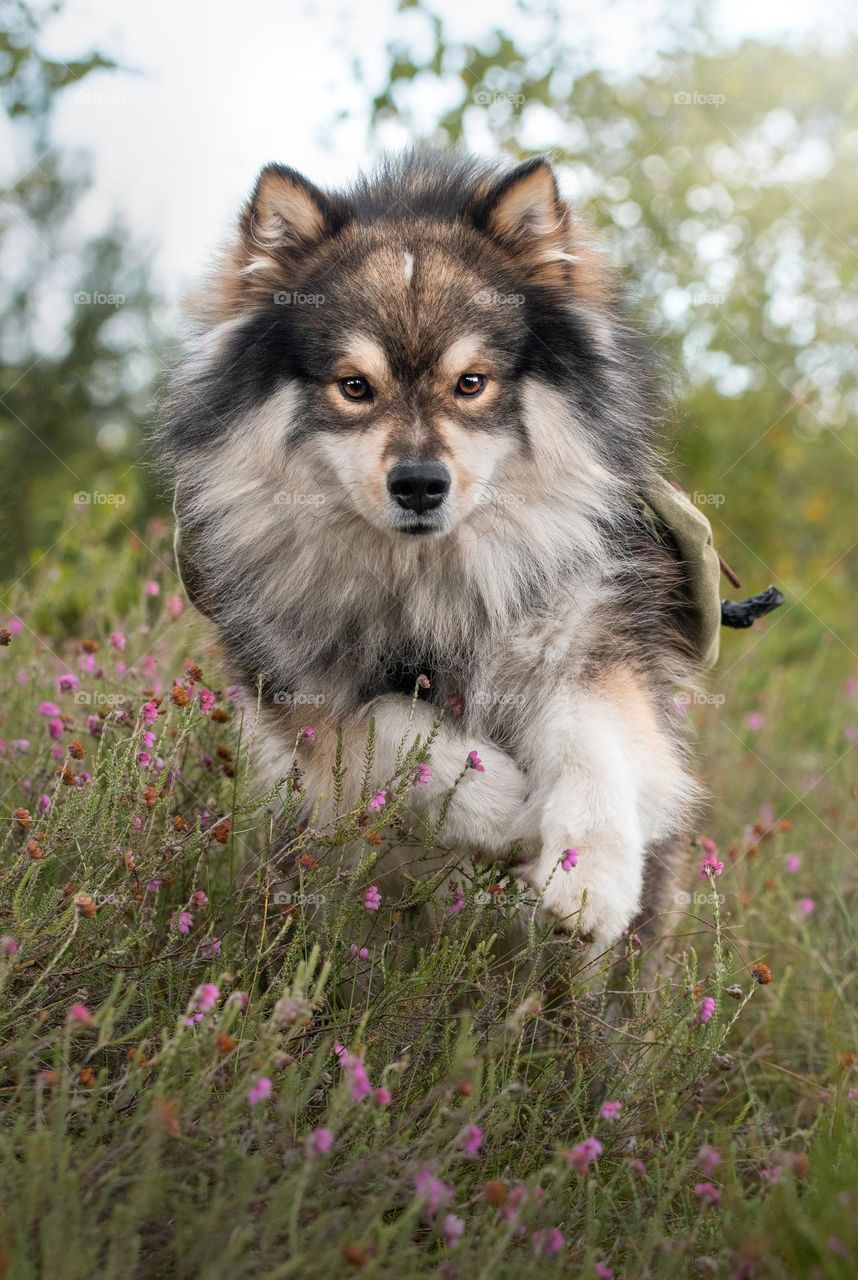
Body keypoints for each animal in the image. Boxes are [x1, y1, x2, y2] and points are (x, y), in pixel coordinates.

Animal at [163, 149, 706, 952]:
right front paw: (505, 807)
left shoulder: (588, 641)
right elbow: (386, 723)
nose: (419, 484)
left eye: (471, 383)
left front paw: (588, 878)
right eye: (355, 387)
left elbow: (594, 743)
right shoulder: (299, 700)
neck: (429, 582)